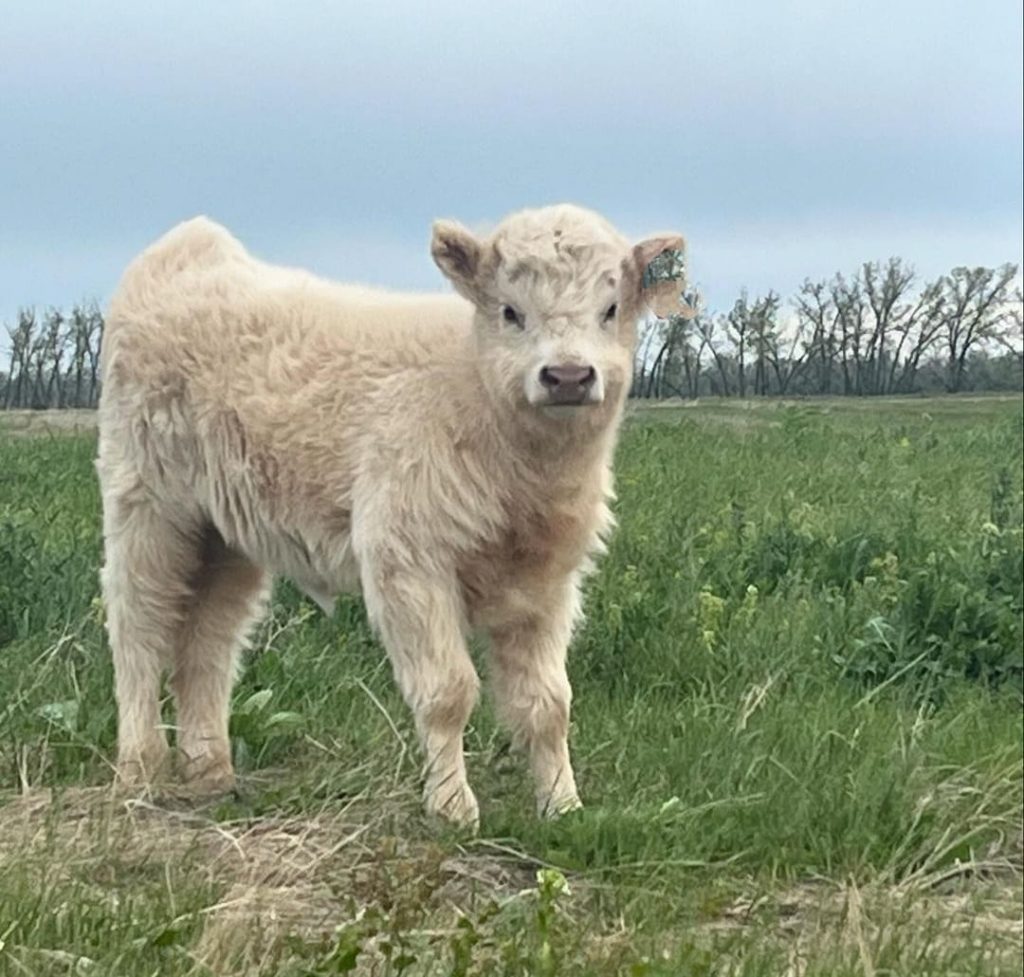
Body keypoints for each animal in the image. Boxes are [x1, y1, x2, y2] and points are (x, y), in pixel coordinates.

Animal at [97, 203, 688, 823]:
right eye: (510, 311)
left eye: (611, 309)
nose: (568, 376)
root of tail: (187, 247)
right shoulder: (408, 559)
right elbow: (449, 692)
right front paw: (452, 808)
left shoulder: (546, 581)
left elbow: (548, 703)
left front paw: (563, 806)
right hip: (145, 504)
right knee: (139, 630)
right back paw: (139, 769)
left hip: (226, 533)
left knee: (207, 641)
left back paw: (209, 770)